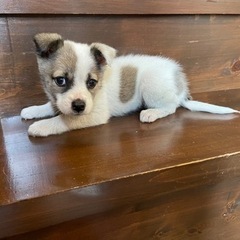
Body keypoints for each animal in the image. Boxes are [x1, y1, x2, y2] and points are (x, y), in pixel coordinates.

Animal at [20, 33, 238, 137]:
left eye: (92, 83)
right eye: (60, 80)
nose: (79, 106)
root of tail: (180, 84)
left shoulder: (95, 114)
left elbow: (65, 120)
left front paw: (41, 126)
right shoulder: (61, 101)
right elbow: (52, 106)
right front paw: (33, 110)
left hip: (151, 86)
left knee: (171, 107)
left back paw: (152, 113)